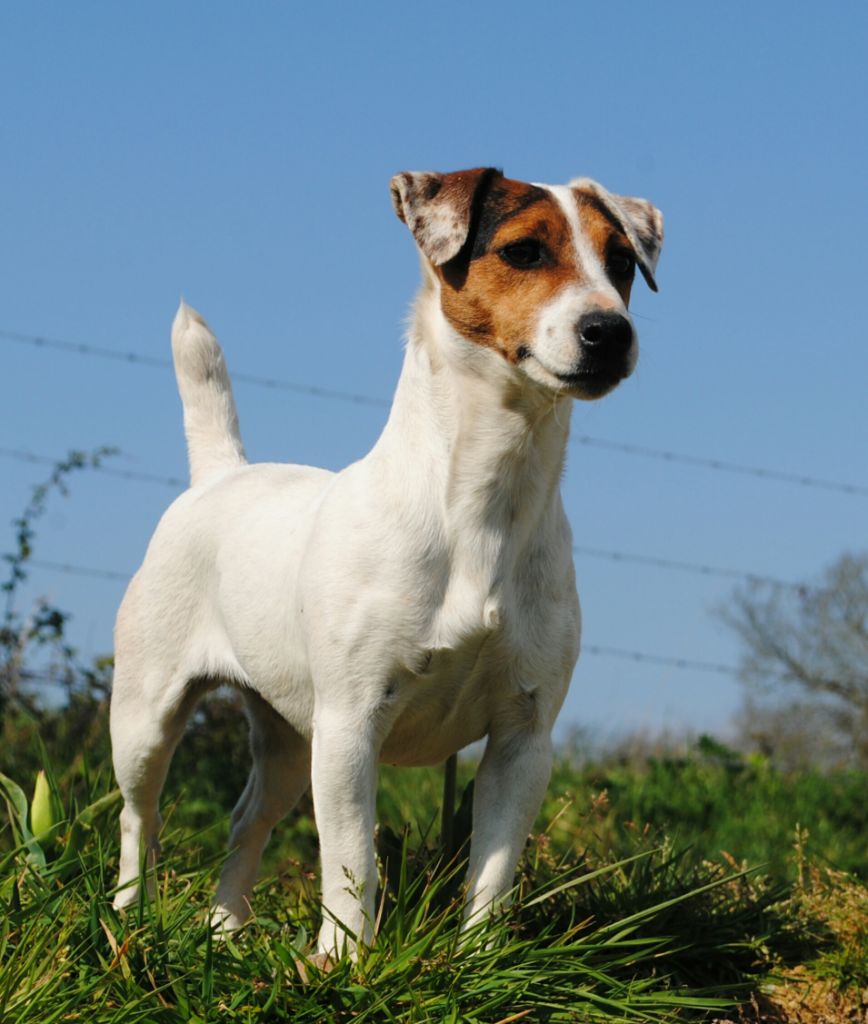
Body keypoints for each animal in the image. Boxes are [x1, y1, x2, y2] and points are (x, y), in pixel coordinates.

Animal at [110, 163, 663, 954]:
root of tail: (219, 474)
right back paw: (128, 916)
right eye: (523, 252)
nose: (610, 331)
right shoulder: (351, 724)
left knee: (247, 821)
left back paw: (224, 931)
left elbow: (493, 872)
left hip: (288, 735)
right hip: (149, 715)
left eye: (620, 262)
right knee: (139, 816)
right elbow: (351, 862)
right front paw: (344, 960)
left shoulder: (524, 739)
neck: (484, 504)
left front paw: (478, 961)